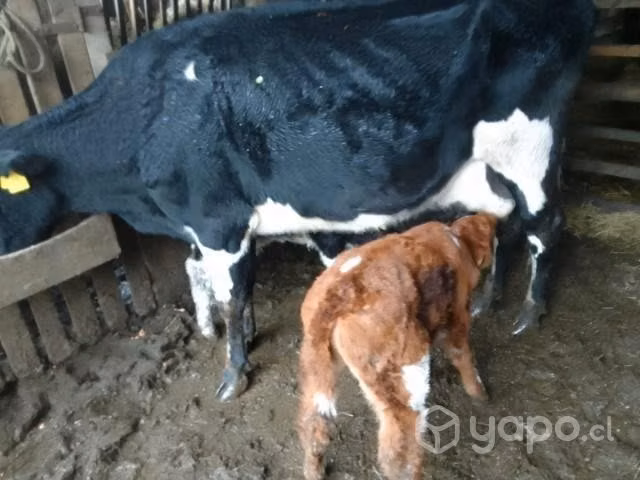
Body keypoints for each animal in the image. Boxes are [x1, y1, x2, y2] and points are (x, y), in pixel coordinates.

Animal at [0, 0, 596, 400]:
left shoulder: (216, 219)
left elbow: (231, 295)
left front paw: (232, 375)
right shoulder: (210, 225)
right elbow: (228, 289)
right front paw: (242, 337)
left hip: (530, 145)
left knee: (547, 223)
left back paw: (529, 315)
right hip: (492, 168)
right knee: (507, 222)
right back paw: (484, 302)